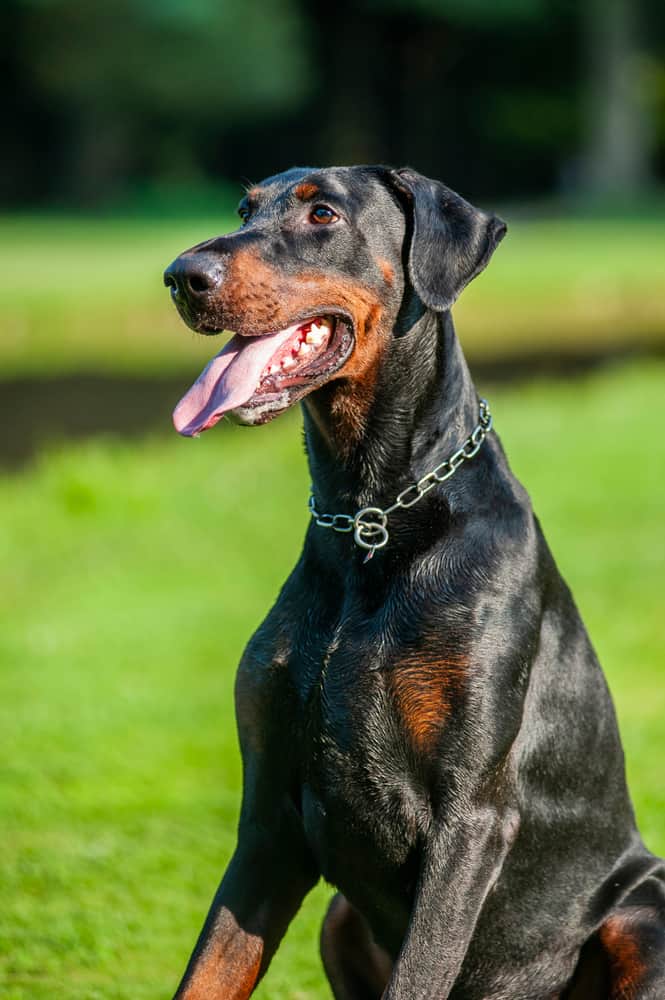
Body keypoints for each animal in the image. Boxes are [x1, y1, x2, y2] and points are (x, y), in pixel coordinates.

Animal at [162, 168, 664, 996]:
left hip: (641, 914)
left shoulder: (469, 819)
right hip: (338, 920)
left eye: (321, 213)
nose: (181, 276)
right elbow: (207, 970)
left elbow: (420, 970)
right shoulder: (267, 820)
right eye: (244, 207)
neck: (371, 518)